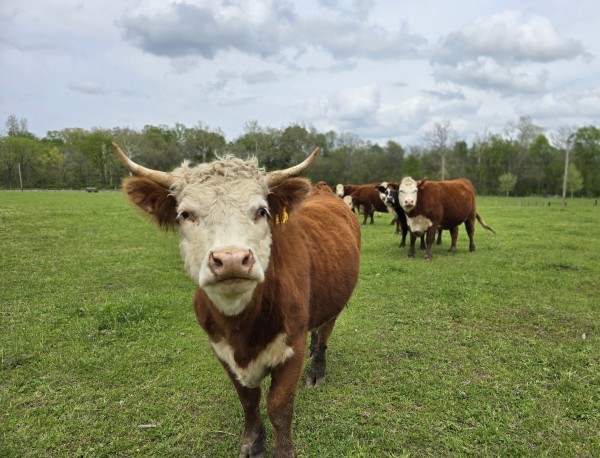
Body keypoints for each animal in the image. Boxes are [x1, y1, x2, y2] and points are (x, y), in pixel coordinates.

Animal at [111, 144, 360, 458]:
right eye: (185, 214)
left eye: (262, 211)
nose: (230, 260)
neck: (242, 329)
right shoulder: (220, 349)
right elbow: (248, 401)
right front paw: (253, 443)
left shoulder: (293, 346)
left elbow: (279, 407)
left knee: (325, 331)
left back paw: (317, 371)